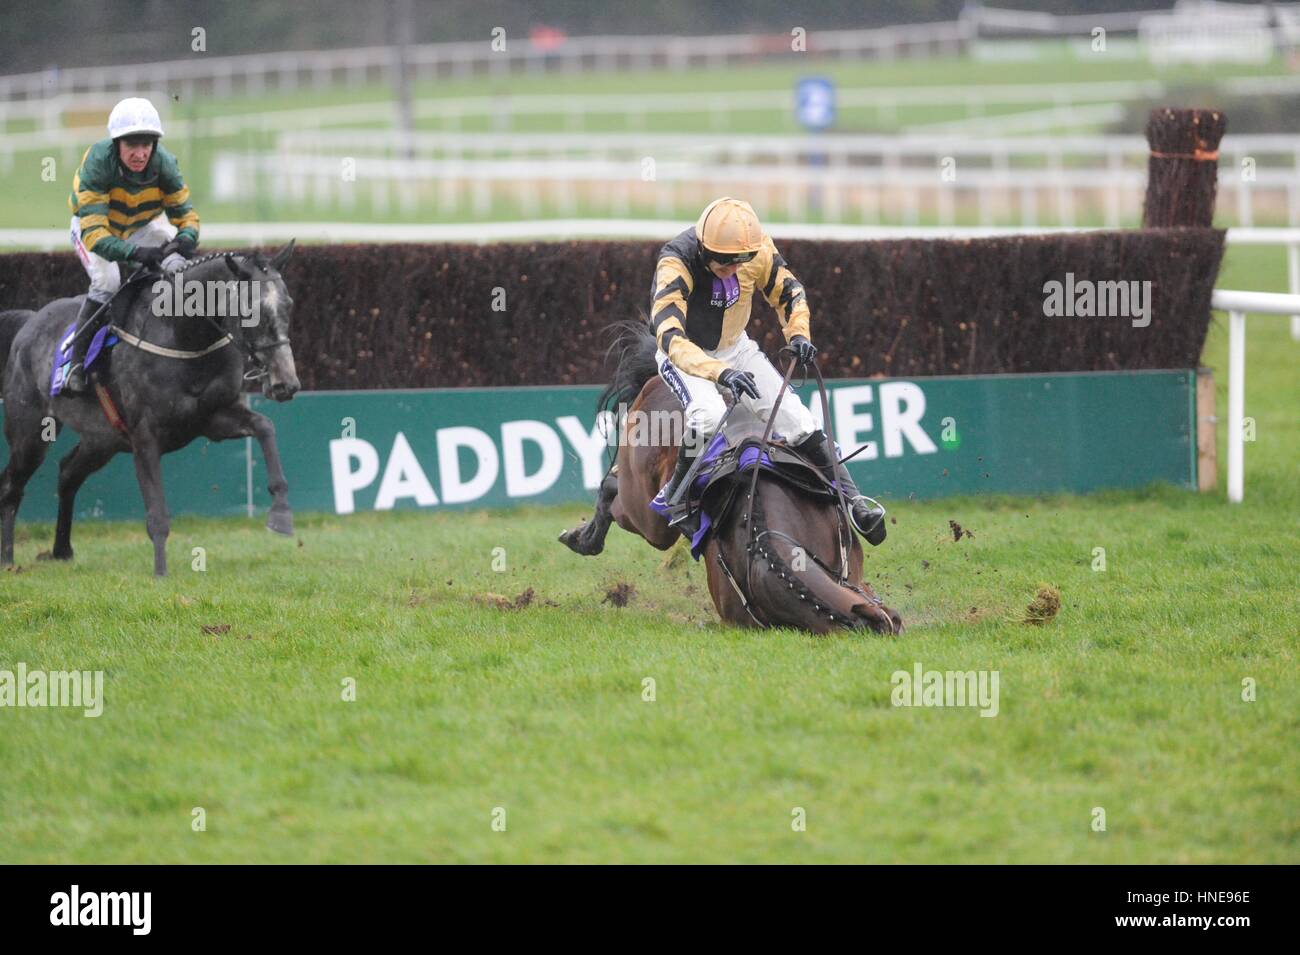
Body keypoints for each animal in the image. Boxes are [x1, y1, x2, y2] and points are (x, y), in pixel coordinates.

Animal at [1, 244, 299, 574]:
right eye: (249, 310)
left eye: (288, 304)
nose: (286, 382)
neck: (184, 336)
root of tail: (29, 321)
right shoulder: (144, 435)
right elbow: (157, 511)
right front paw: (160, 573)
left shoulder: (211, 418)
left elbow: (265, 427)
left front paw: (281, 514)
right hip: (30, 431)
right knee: (12, 485)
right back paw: (8, 559)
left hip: (101, 440)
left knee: (68, 473)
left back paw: (61, 549)